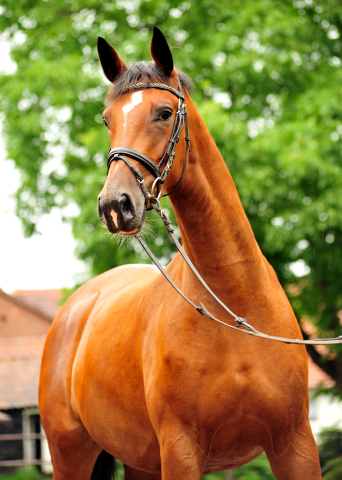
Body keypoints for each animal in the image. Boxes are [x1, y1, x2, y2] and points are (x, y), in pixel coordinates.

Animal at [38, 27, 322, 480]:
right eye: (107, 119)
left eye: (164, 113)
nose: (114, 205)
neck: (233, 300)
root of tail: (75, 308)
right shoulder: (181, 450)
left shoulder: (294, 444)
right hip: (69, 454)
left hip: (140, 461)